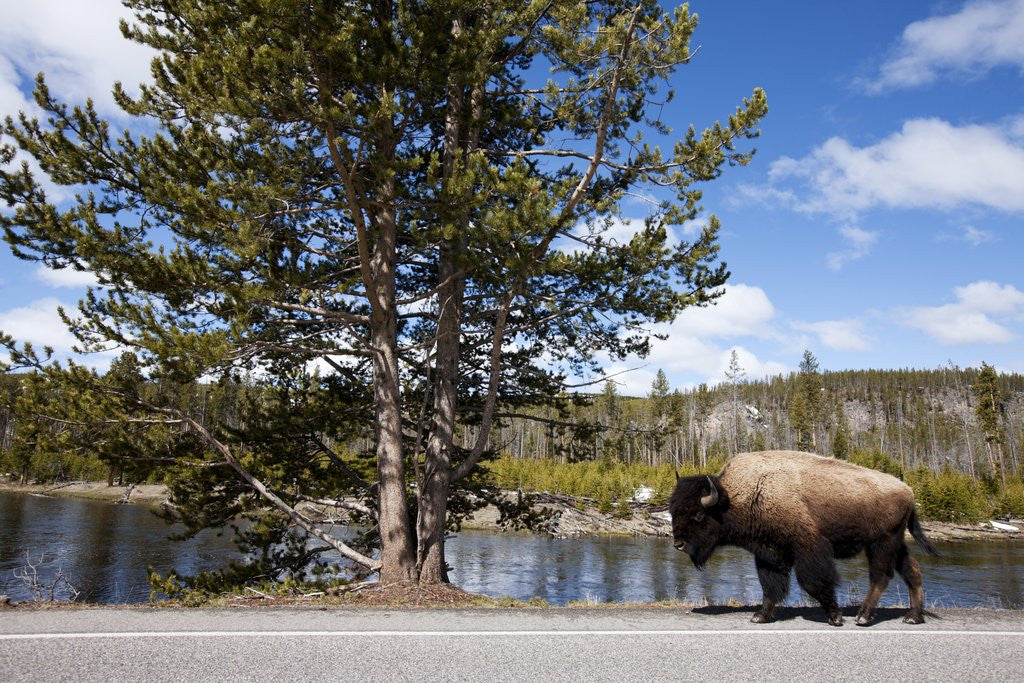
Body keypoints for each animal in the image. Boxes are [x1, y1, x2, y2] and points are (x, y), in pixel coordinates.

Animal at [669, 450, 937, 626]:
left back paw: (863, 617)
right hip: (897, 544)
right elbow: (770, 586)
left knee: (880, 576)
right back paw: (912, 617)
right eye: (673, 511)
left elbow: (813, 581)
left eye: (698, 514)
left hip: (881, 542)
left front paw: (835, 616)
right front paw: (760, 616)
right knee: (912, 572)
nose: (678, 544)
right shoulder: (768, 553)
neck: (737, 496)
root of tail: (908, 491)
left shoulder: (808, 547)